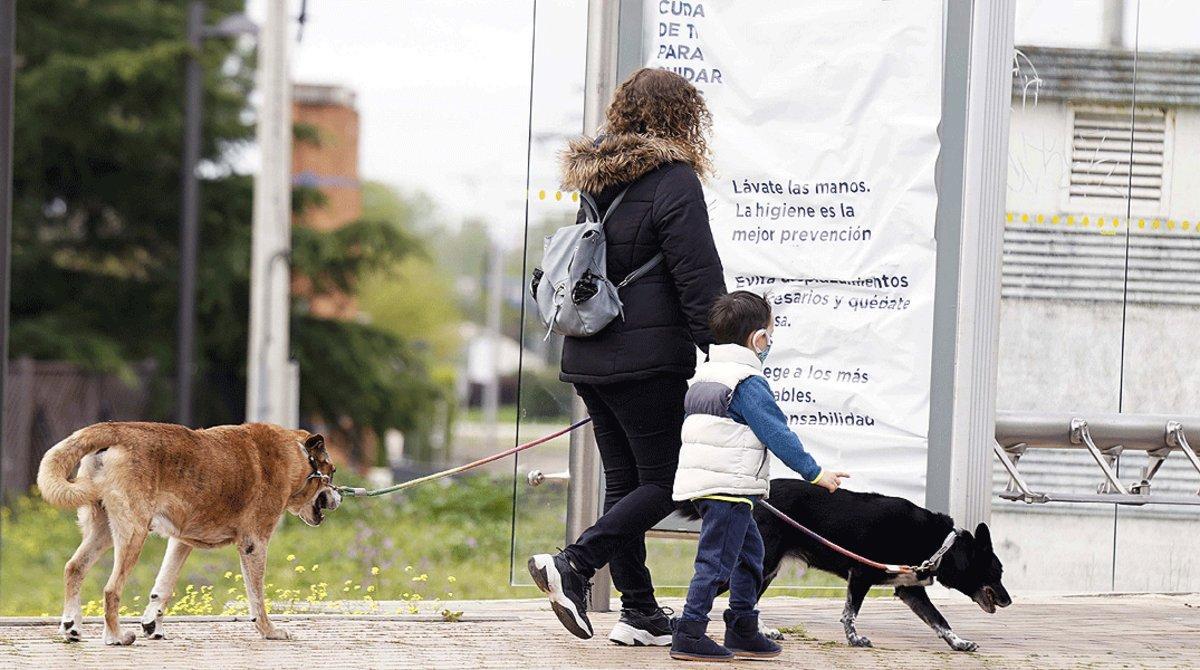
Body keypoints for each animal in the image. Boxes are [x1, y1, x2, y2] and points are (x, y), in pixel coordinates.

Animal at [35, 422, 340, 648]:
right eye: (332, 471)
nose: (338, 497)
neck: (297, 455)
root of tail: (115, 429)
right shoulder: (254, 544)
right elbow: (257, 597)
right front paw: (269, 631)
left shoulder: (180, 542)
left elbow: (163, 587)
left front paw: (152, 626)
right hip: (133, 533)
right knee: (111, 589)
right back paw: (116, 637)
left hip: (103, 530)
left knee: (74, 567)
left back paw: (71, 627)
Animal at [753, 480, 1008, 653]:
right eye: (997, 572)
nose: (1008, 600)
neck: (939, 545)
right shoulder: (860, 575)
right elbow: (849, 615)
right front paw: (854, 640)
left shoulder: (910, 590)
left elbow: (939, 620)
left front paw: (959, 642)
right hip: (764, 563)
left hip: (768, 570)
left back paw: (762, 632)